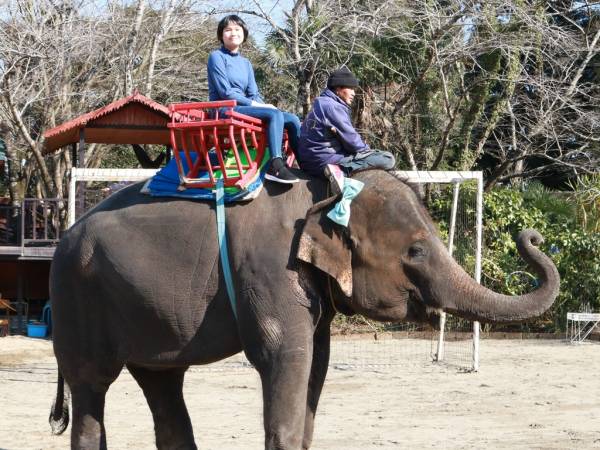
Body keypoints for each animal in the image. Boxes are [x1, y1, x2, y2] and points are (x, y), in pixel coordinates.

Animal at [49, 170, 560, 450]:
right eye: (415, 251)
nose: (532, 235)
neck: (323, 191)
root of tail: (61, 237)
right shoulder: (270, 270)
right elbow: (284, 356)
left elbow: (318, 361)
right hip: (78, 300)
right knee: (92, 387)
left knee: (163, 384)